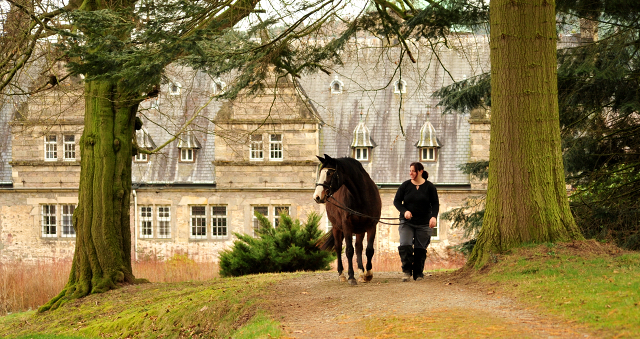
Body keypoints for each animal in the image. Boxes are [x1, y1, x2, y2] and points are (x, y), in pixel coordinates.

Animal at [314, 155, 382, 286]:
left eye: (329, 173)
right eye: (320, 173)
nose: (317, 196)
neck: (361, 197)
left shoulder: (371, 226)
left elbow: (369, 250)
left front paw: (368, 274)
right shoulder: (347, 227)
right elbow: (349, 250)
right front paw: (351, 276)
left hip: (360, 230)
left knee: (359, 247)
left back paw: (361, 272)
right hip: (337, 228)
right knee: (338, 248)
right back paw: (341, 274)